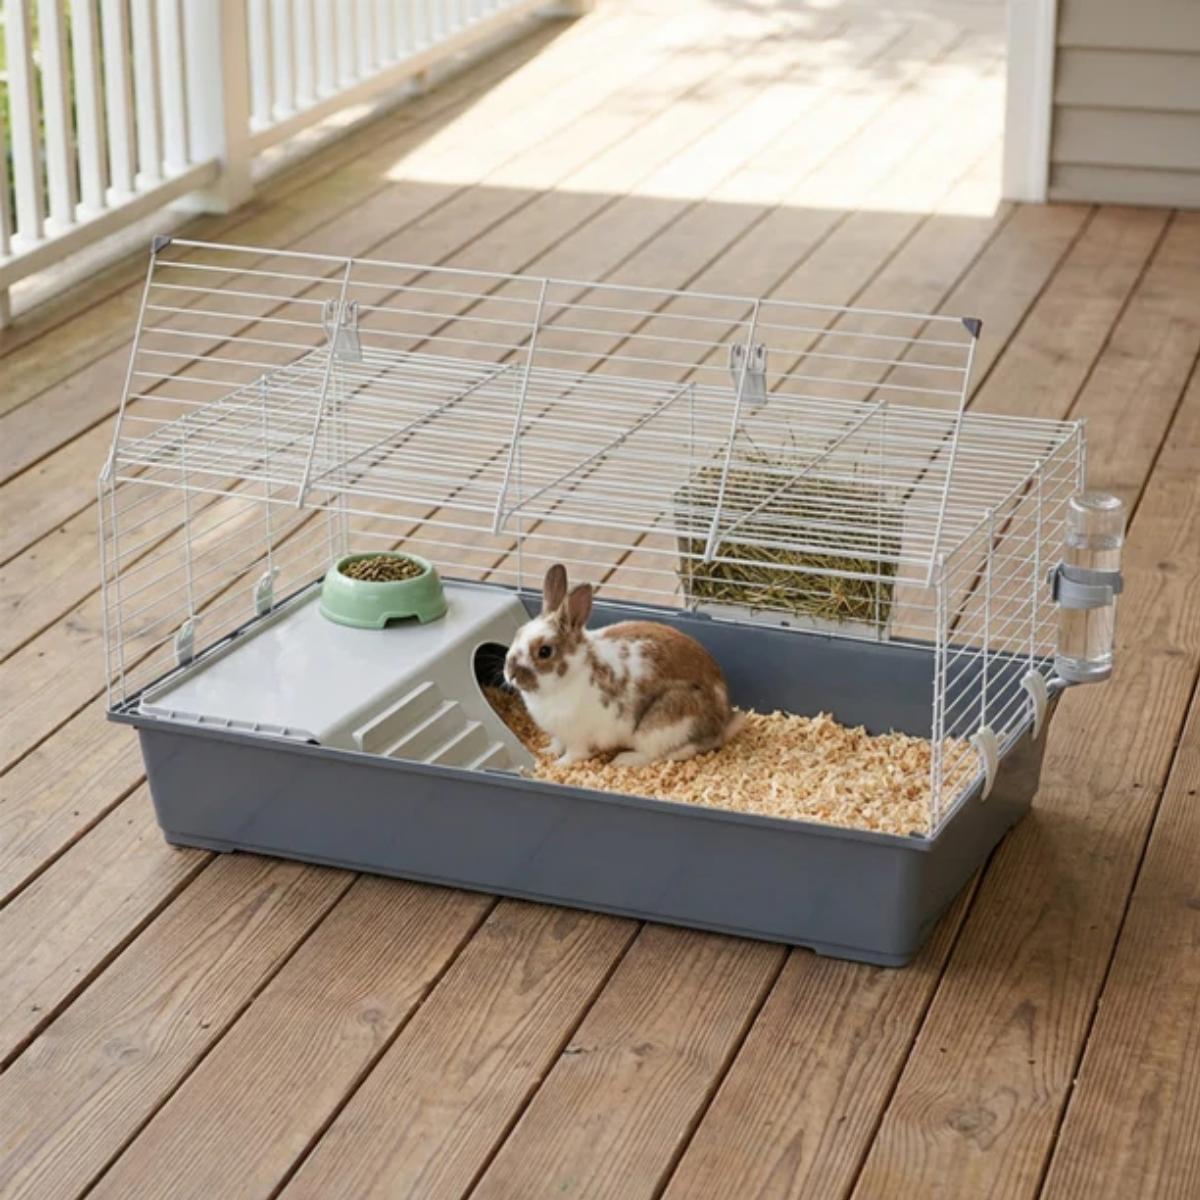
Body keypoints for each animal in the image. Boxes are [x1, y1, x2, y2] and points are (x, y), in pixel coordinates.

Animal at [504, 563, 743, 767]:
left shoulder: (578, 738)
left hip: (660, 726)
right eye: (518, 633)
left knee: (667, 753)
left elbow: (574, 754)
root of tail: (722, 723)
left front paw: (558, 765)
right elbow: (556, 744)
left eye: (544, 651)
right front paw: (545, 752)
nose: (511, 674)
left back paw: (623, 760)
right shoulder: (560, 734)